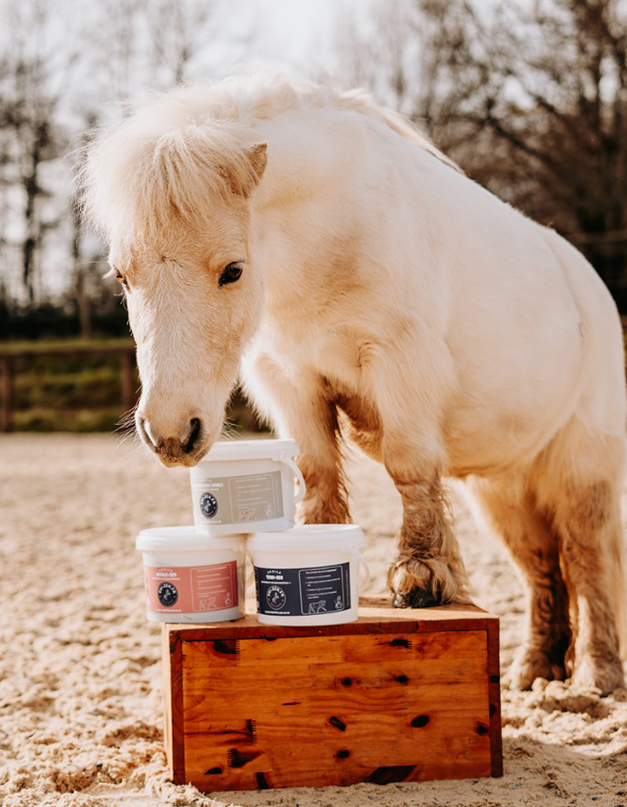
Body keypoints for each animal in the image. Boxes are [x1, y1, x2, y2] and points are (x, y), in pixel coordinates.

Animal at [82, 72, 627, 694]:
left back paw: (595, 677)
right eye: (122, 276)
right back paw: (535, 669)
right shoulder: (292, 377)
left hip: (581, 470)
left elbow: (410, 468)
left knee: (586, 555)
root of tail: (587, 282)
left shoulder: (399, 364)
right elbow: (316, 468)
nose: (172, 434)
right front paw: (314, 543)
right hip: (505, 488)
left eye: (232, 271)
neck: (331, 236)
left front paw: (420, 578)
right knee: (540, 566)